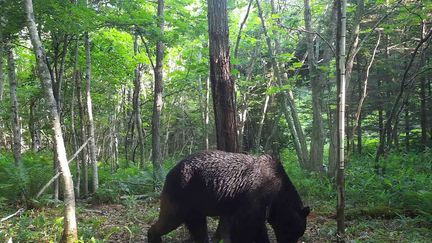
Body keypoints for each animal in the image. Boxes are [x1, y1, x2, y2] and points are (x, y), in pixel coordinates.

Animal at [147, 151, 308, 242]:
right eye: (297, 232)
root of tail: (170, 171)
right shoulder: (254, 198)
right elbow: (244, 227)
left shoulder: (259, 207)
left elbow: (258, 228)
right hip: (181, 193)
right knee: (169, 219)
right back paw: (154, 236)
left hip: (195, 205)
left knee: (198, 227)